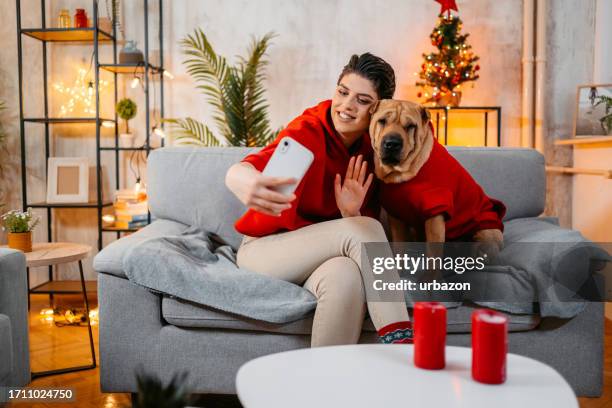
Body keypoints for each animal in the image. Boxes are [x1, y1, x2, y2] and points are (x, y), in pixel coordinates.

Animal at [368, 99, 506, 252]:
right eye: (382, 121)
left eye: (411, 126)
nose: (392, 143)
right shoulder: (396, 216)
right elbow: (399, 247)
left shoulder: (435, 215)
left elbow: (433, 255)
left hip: (488, 234)